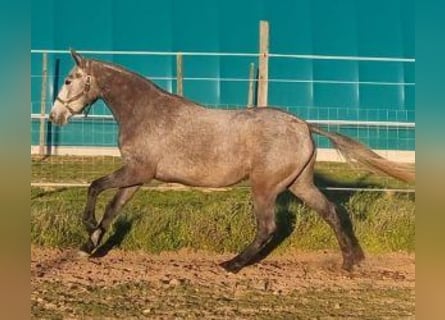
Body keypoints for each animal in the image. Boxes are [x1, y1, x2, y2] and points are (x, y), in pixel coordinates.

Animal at [50, 50, 414, 272]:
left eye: (68, 80)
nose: (55, 116)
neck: (145, 112)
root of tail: (303, 125)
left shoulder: (138, 169)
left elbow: (94, 187)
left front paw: (88, 230)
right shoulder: (138, 176)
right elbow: (112, 209)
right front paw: (88, 246)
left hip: (265, 187)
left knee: (268, 227)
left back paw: (233, 264)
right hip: (299, 184)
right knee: (332, 212)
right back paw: (350, 262)